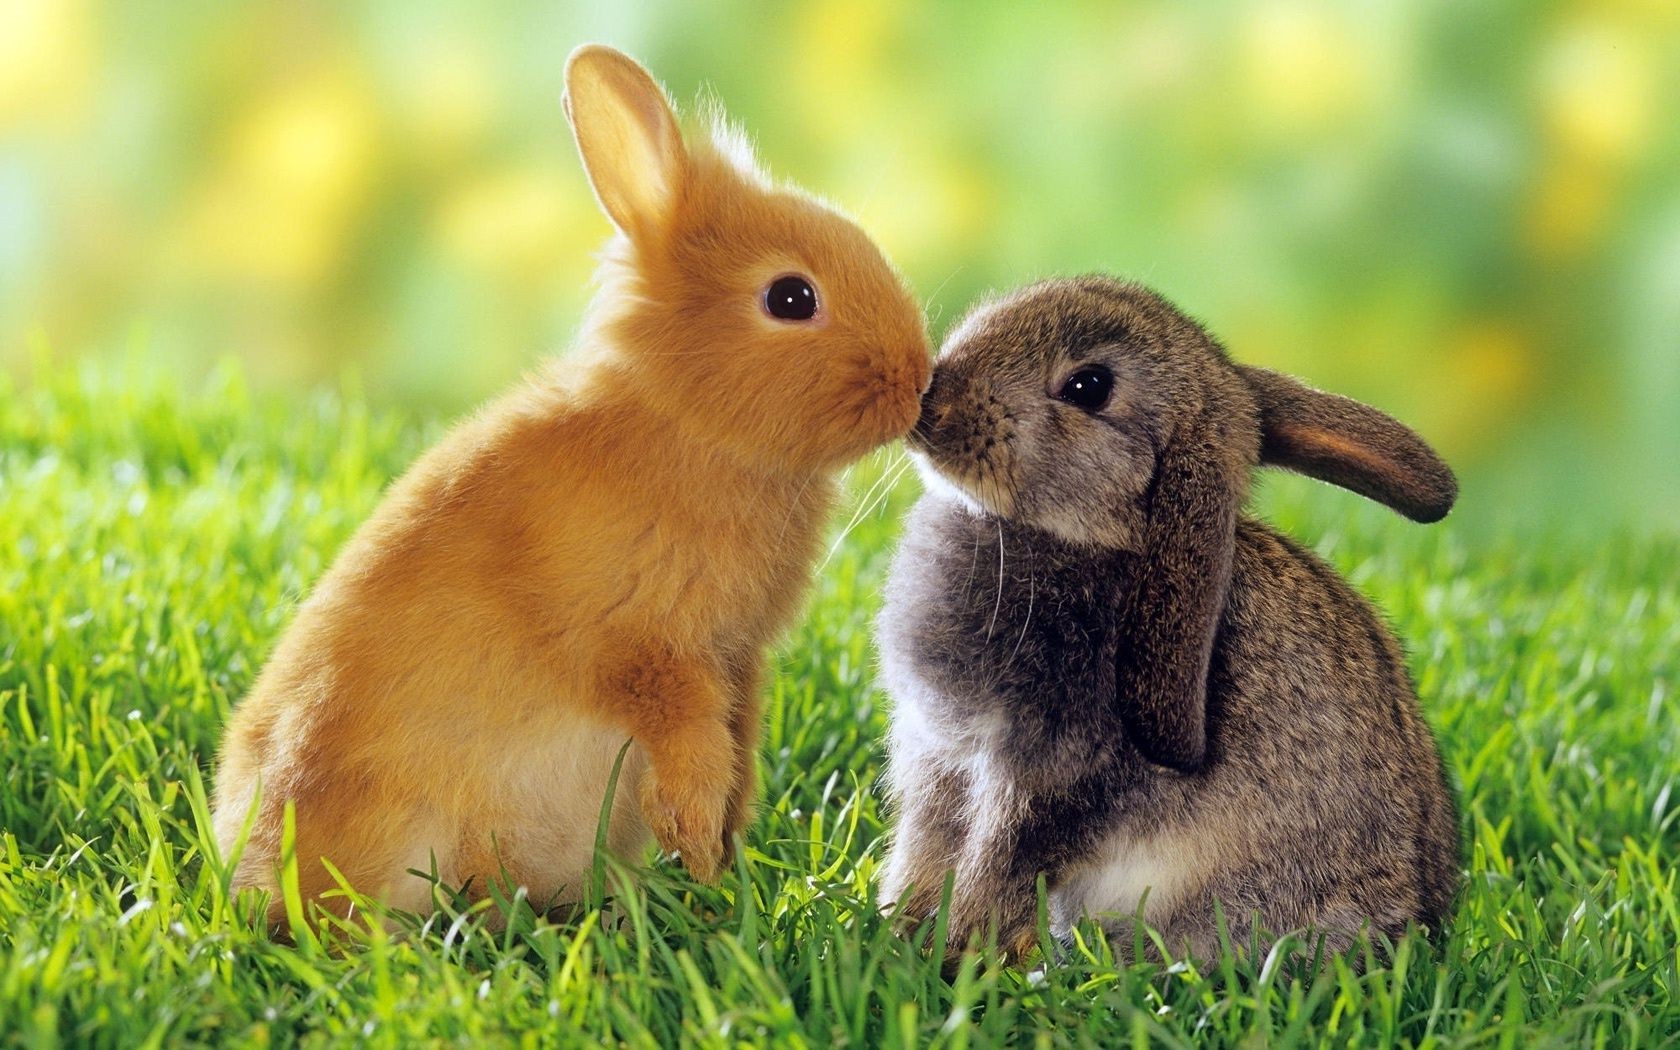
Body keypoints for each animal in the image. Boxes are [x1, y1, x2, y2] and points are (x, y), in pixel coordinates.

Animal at [210, 44, 934, 927]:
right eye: (792, 297)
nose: (918, 381)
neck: (686, 425)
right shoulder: (647, 652)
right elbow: (690, 746)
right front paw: (699, 850)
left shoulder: (738, 663)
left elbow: (738, 750)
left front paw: (723, 859)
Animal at [880, 277, 1458, 960]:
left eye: (1089, 387)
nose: (932, 403)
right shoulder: (939, 759)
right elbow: (925, 852)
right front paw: (895, 930)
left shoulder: (1046, 775)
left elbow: (997, 867)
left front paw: (950, 954)